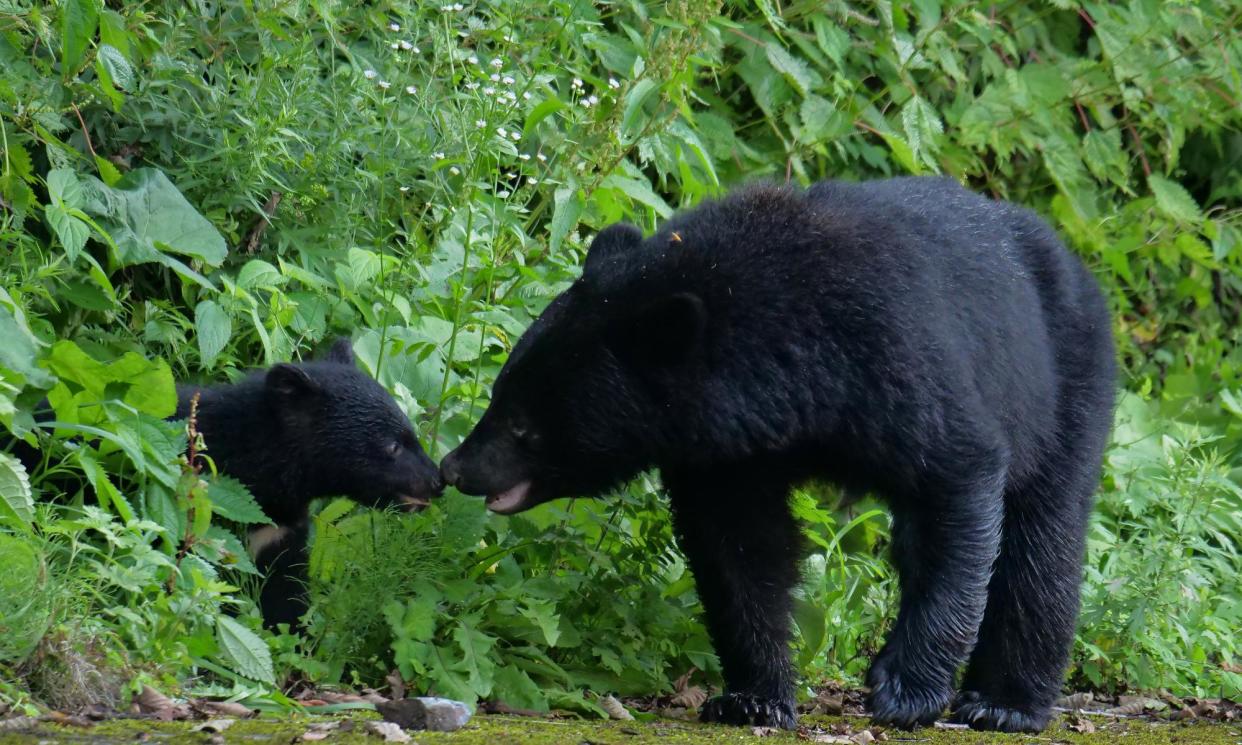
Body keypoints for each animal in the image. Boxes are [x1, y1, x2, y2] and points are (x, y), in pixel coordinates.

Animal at [444, 178, 1117, 735]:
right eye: (500, 391)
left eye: (524, 424)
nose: (455, 467)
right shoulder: (729, 454)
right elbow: (741, 547)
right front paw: (752, 698)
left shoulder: (900, 359)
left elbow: (955, 487)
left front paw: (905, 691)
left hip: (1065, 382)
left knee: (1042, 542)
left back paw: (1006, 704)